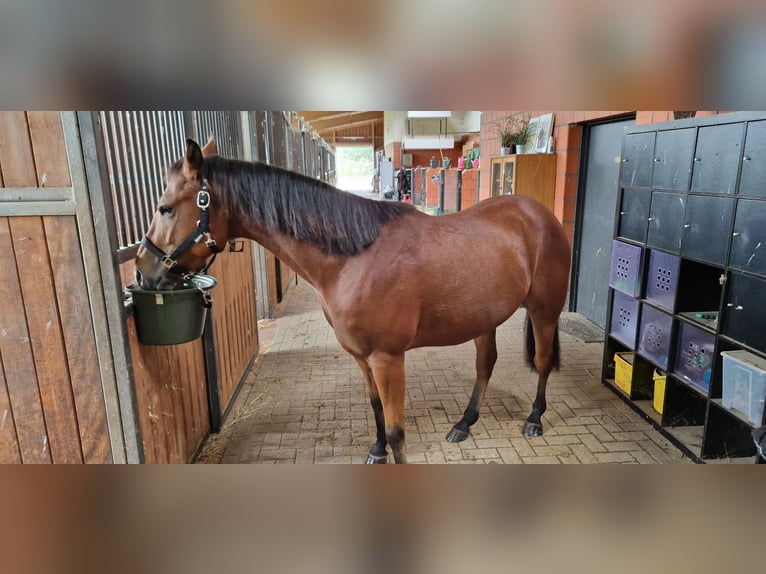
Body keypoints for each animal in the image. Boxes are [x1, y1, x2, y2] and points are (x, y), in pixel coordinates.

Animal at [135, 138, 572, 464]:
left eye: (165, 208)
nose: (143, 270)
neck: (354, 257)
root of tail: (538, 214)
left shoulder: (387, 358)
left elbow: (397, 431)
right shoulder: (362, 357)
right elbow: (375, 408)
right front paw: (375, 451)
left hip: (544, 312)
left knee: (543, 362)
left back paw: (534, 419)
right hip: (485, 318)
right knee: (486, 365)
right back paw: (464, 423)